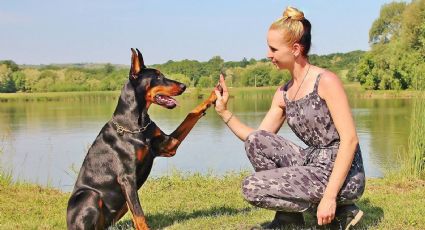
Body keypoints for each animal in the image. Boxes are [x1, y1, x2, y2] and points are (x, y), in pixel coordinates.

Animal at [67, 47, 222, 229]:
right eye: (158, 77)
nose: (184, 86)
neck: (137, 124)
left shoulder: (169, 145)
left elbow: (191, 114)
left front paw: (214, 95)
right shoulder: (127, 178)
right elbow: (140, 214)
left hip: (120, 206)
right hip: (89, 195)